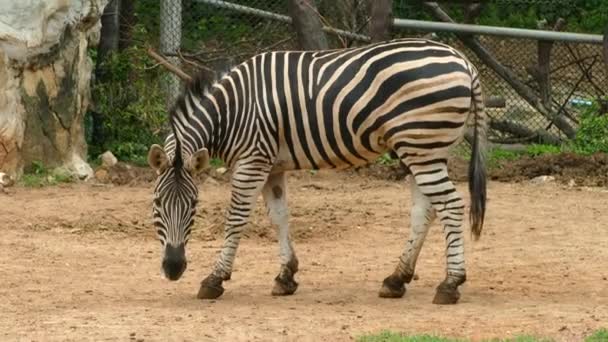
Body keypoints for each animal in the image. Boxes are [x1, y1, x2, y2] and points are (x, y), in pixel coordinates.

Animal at [148, 38, 490, 304]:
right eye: (157, 204)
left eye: (194, 205)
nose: (173, 269)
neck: (230, 112)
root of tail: (463, 60)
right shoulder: (271, 166)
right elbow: (279, 216)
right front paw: (285, 276)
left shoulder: (252, 161)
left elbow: (236, 219)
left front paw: (215, 279)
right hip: (425, 150)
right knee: (426, 210)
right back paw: (396, 280)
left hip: (422, 145)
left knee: (451, 206)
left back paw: (450, 284)